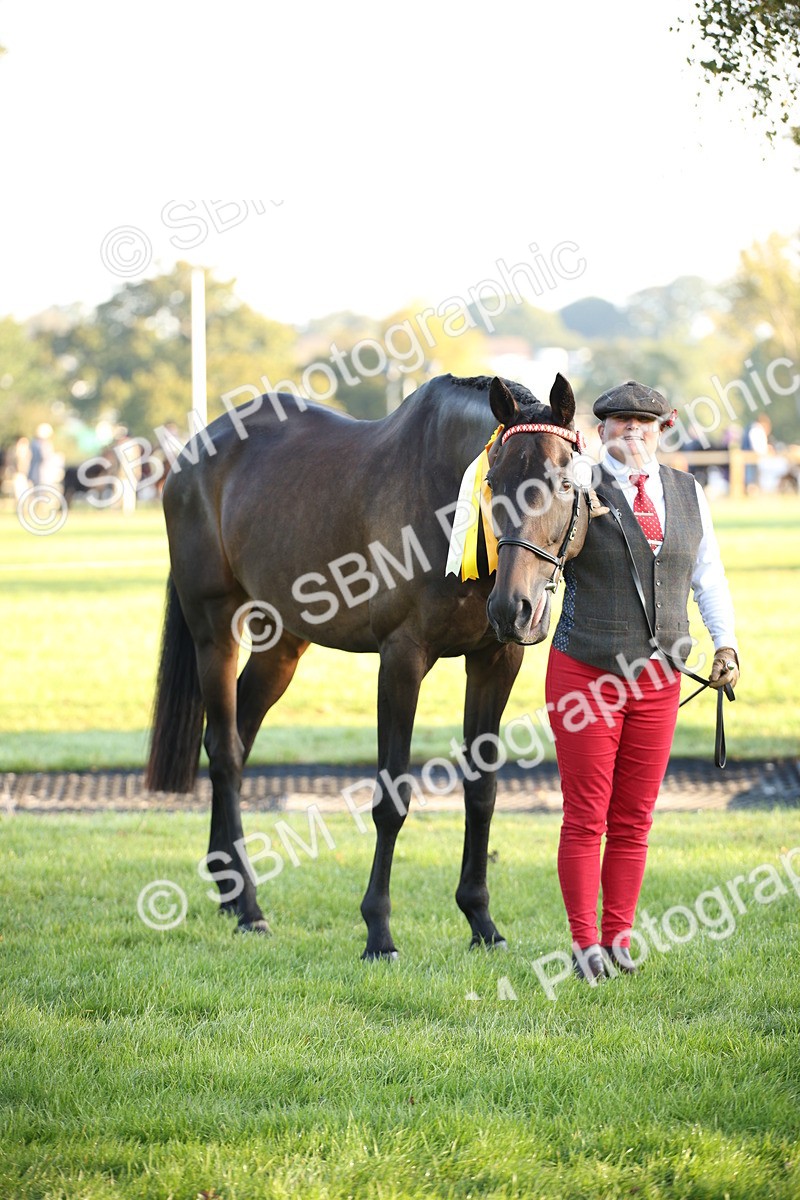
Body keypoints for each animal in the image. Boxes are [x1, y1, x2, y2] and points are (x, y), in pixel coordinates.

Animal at [146, 373, 593, 958]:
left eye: (564, 484)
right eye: (493, 482)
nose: (514, 608)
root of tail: (191, 454)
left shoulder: (495, 660)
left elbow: (482, 790)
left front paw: (481, 919)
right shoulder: (401, 660)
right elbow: (392, 798)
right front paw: (378, 930)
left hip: (283, 643)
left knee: (238, 734)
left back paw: (229, 887)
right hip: (213, 627)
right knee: (226, 752)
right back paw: (249, 908)